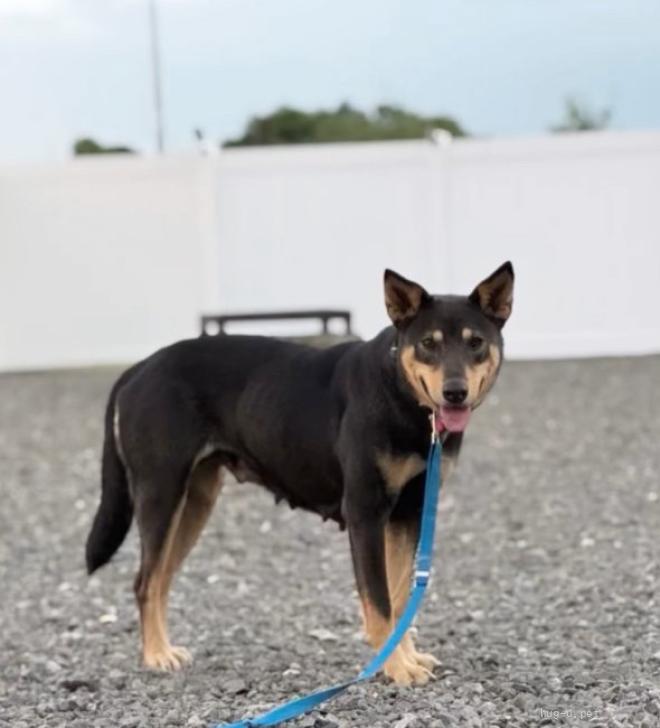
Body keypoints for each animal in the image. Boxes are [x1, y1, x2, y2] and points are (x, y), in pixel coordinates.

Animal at [86, 262, 513, 686]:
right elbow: (380, 602)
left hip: (194, 503)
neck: (402, 393)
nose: (455, 392)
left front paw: (405, 658)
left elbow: (398, 597)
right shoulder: (366, 512)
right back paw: (157, 655)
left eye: (475, 343)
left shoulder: (408, 512)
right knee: (146, 582)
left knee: (160, 581)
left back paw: (163, 648)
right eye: (428, 343)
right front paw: (394, 667)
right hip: (162, 494)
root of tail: (139, 367)